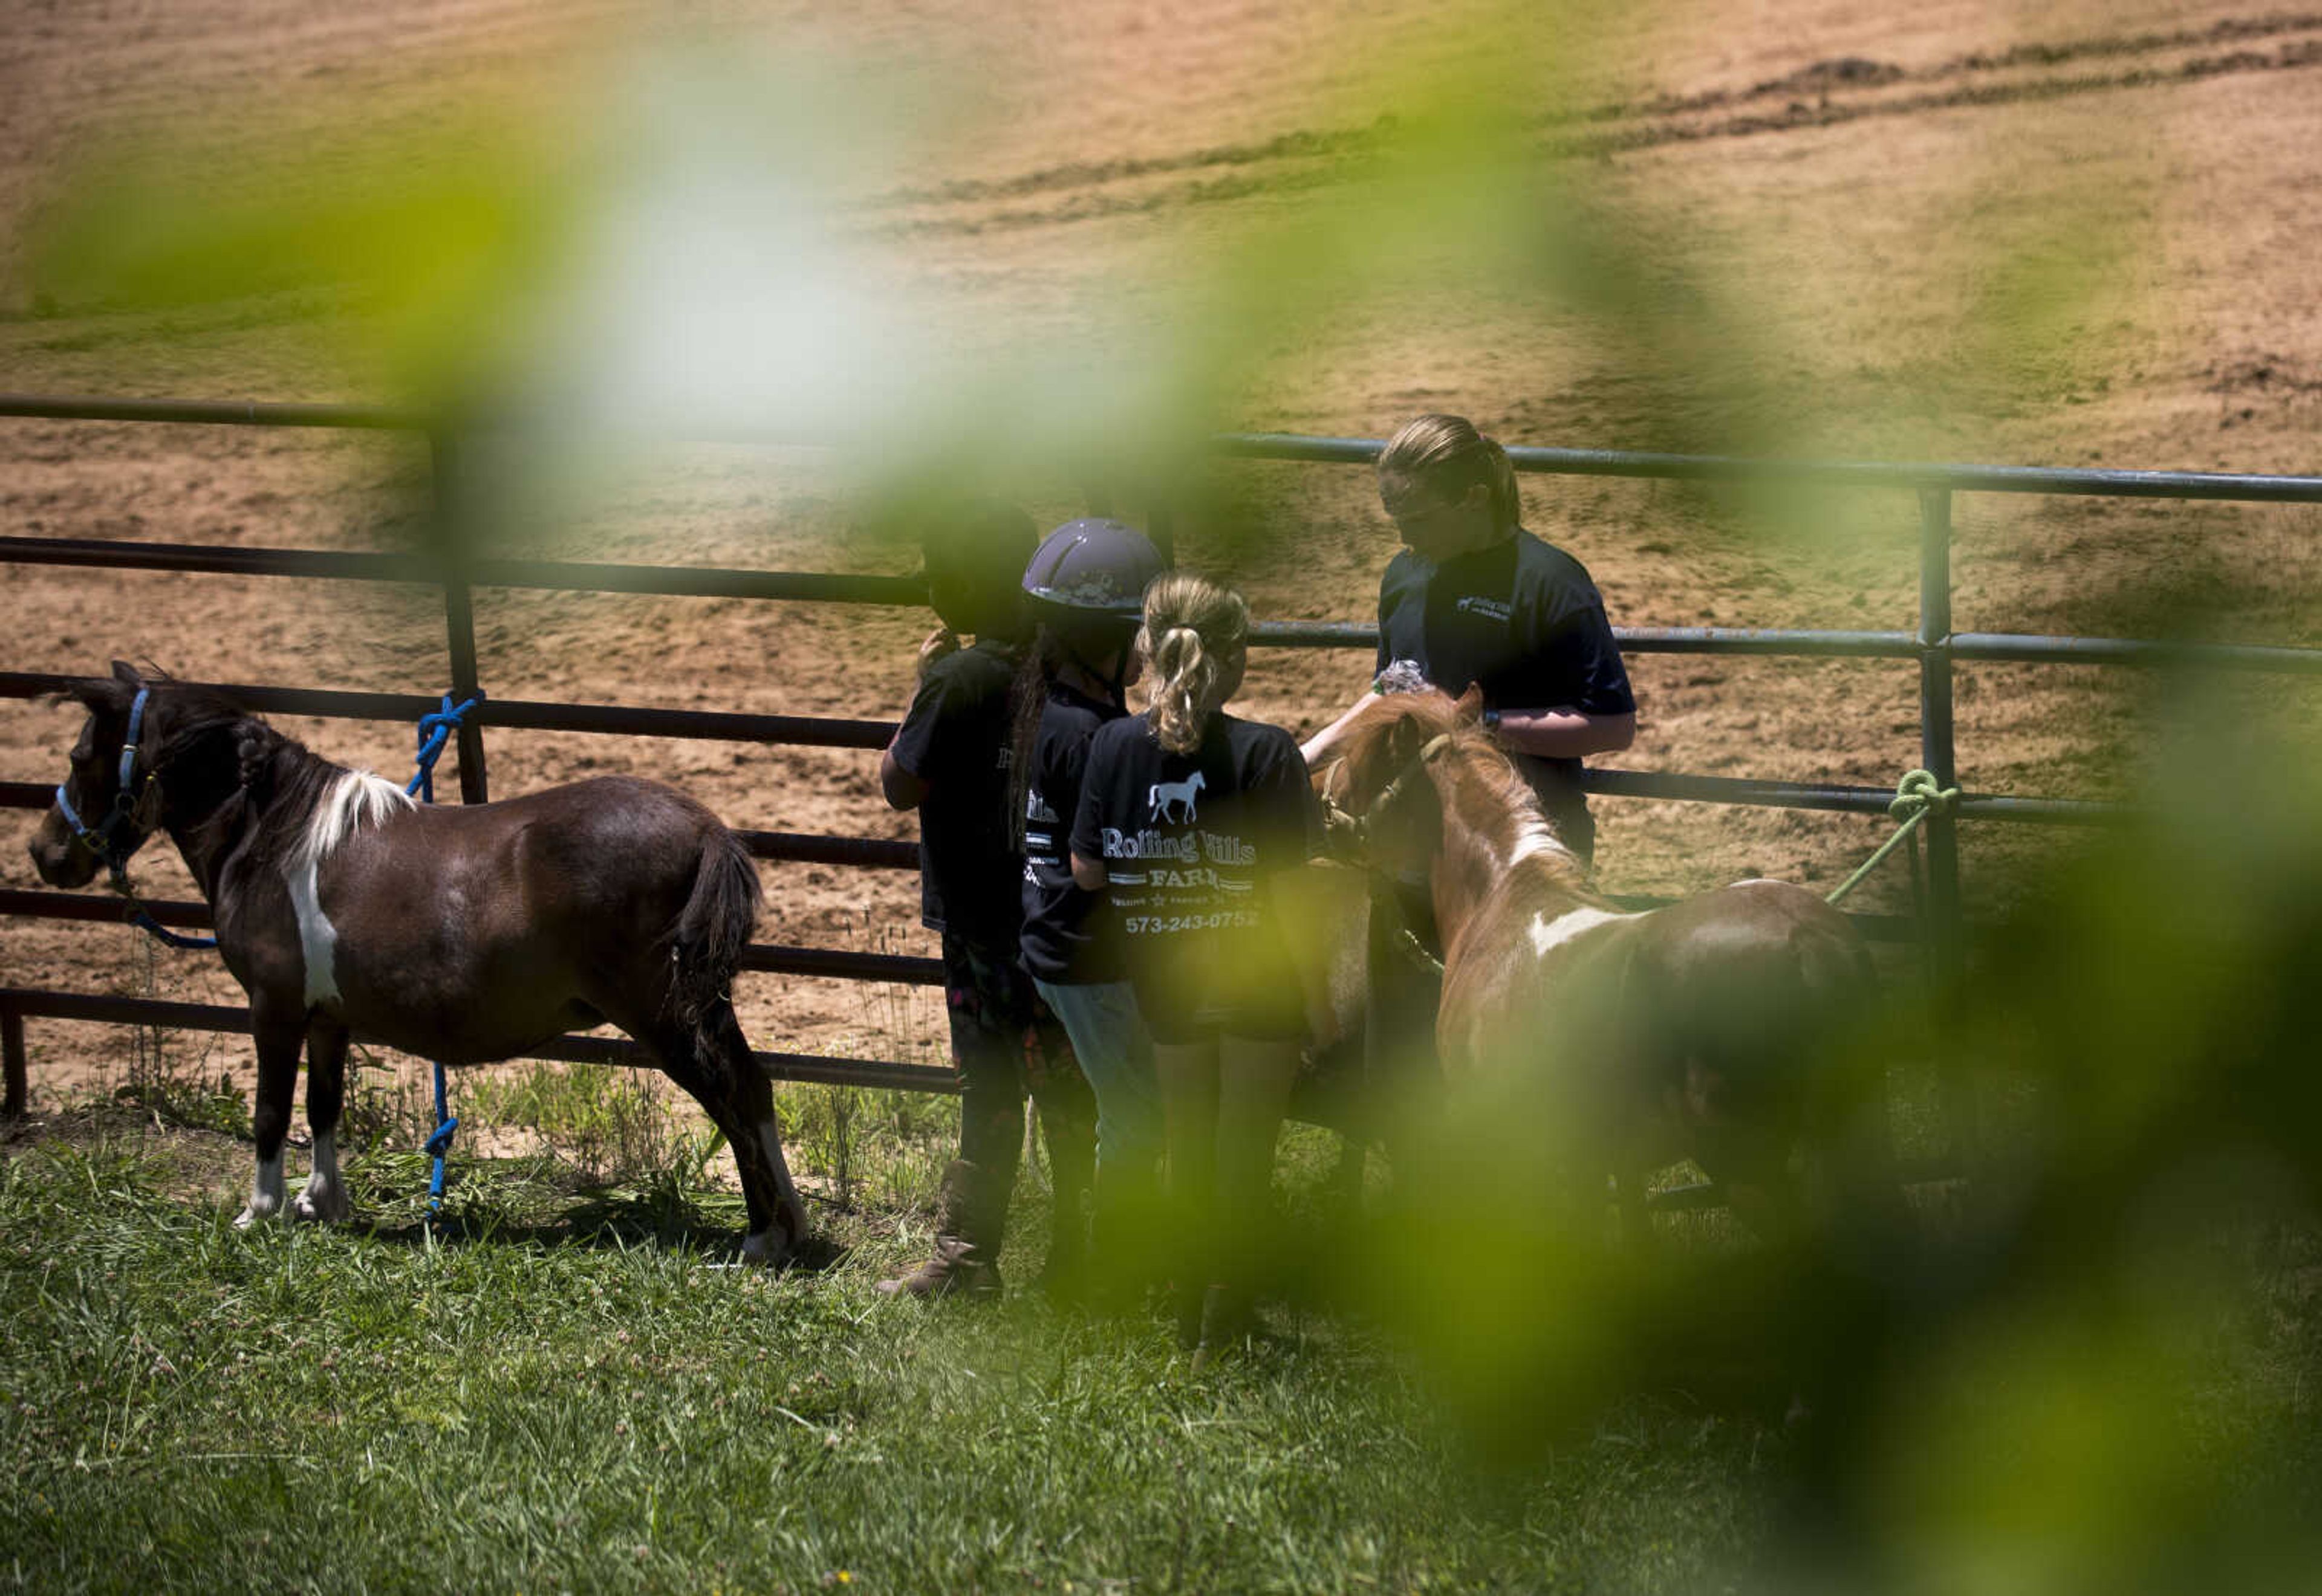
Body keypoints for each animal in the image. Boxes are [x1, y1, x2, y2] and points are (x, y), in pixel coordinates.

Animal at [22, 658, 808, 1262]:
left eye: (77, 758)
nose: (44, 852)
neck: (274, 836)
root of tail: (705, 831)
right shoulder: (327, 1018)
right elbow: (324, 1105)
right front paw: (322, 1203)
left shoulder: (273, 1009)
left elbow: (271, 1110)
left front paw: (259, 1212)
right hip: (704, 1005)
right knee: (754, 1085)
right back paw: (791, 1225)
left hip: (661, 1017)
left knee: (727, 1096)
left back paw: (760, 1237)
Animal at [1309, 677, 1885, 1243]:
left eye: (1358, 757)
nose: (1320, 799)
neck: (1501, 901)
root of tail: (1812, 945)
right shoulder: (1596, 1158)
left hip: (1749, 1167)